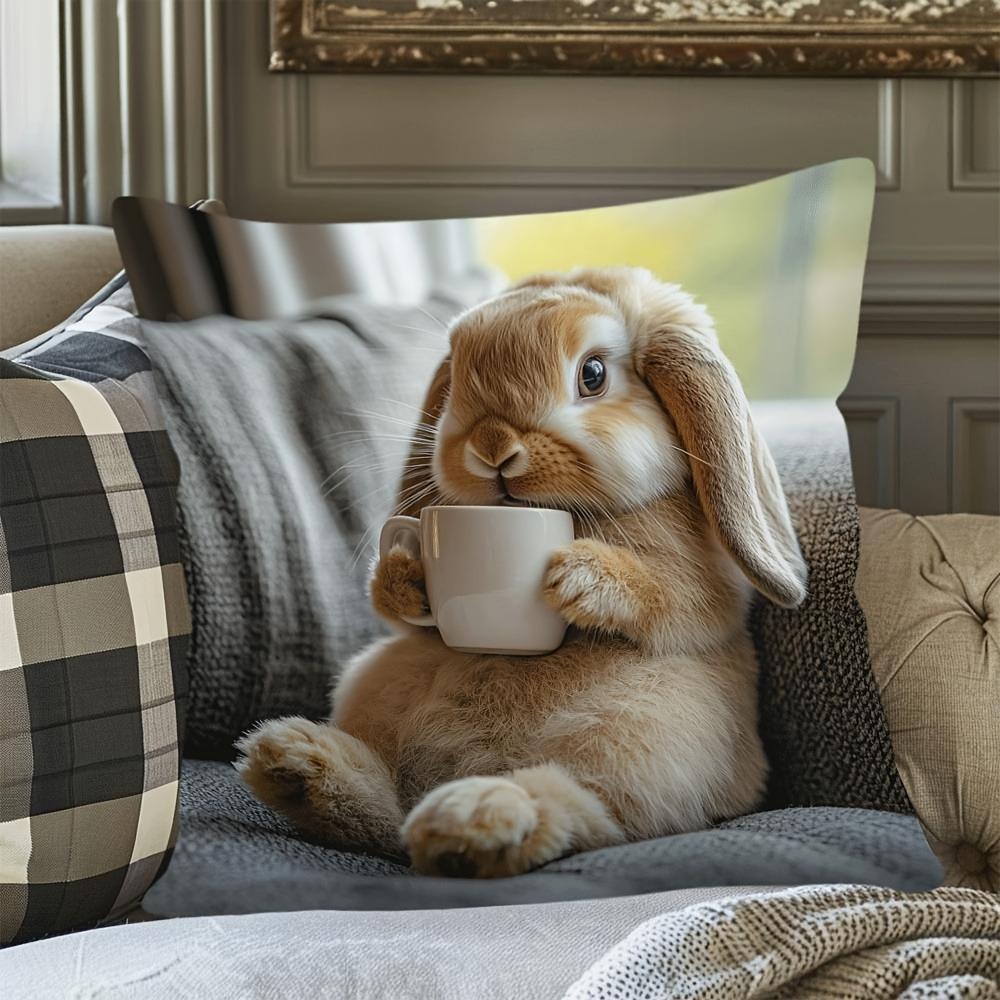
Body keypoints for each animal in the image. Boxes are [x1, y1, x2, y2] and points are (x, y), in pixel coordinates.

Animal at [234, 266, 807, 878]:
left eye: (593, 374)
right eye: (457, 376)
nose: (493, 446)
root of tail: (464, 767)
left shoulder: (705, 586)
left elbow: (675, 595)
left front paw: (577, 575)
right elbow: (404, 607)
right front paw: (404, 580)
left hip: (644, 731)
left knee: (587, 808)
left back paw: (478, 819)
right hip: (378, 682)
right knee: (388, 817)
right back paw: (299, 766)